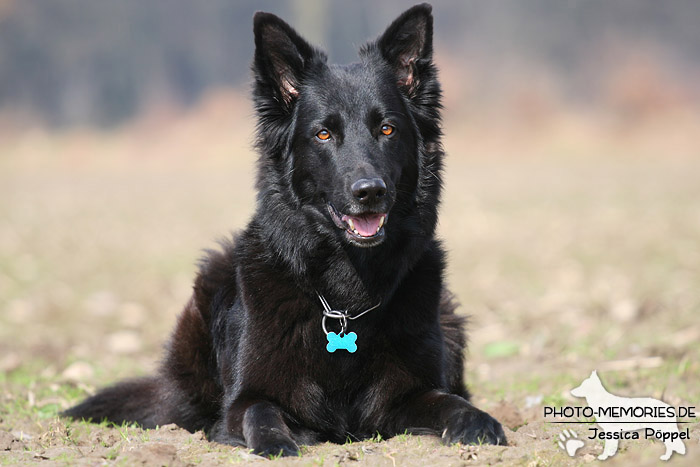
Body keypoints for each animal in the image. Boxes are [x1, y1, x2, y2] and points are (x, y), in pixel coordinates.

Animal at [64, 3, 504, 458]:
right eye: (323, 133)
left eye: (387, 129)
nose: (370, 192)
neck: (345, 299)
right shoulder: (245, 400)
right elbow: (260, 413)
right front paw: (280, 442)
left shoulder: (409, 395)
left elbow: (452, 402)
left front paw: (482, 426)